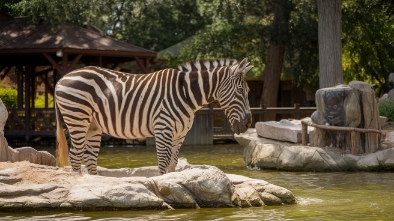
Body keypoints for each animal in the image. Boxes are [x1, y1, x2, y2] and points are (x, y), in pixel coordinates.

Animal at [55, 57, 252, 175]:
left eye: (248, 91)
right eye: (241, 91)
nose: (247, 124)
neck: (185, 95)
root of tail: (62, 78)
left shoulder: (180, 134)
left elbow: (173, 163)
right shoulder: (163, 129)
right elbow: (163, 162)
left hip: (93, 126)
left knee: (89, 157)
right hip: (77, 119)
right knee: (75, 155)